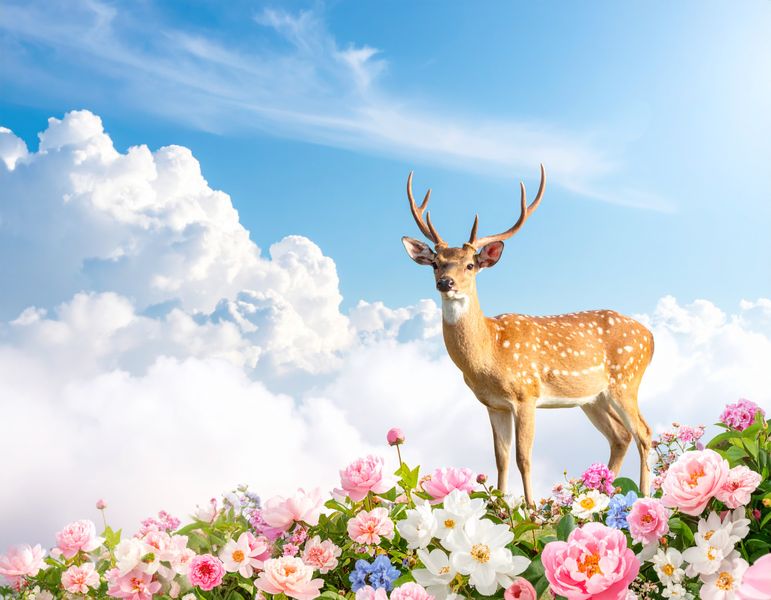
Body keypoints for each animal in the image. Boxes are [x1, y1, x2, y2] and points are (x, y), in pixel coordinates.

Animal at [401, 165, 654, 506]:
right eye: (436, 264)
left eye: (470, 265)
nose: (445, 283)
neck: (490, 352)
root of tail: (651, 337)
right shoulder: (493, 404)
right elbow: (501, 458)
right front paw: (499, 508)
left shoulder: (526, 393)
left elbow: (524, 456)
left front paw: (531, 509)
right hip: (593, 397)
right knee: (621, 435)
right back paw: (598, 496)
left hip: (626, 379)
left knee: (644, 432)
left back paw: (644, 496)